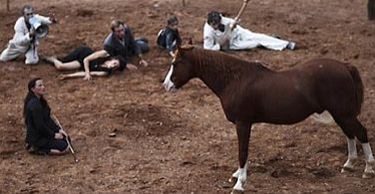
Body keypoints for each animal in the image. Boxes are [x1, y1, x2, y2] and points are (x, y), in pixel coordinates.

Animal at [162, 46, 375, 192]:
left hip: (343, 113)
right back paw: (348, 165)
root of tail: (345, 66)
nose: (166, 85)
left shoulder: (243, 123)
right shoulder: (245, 124)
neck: (235, 80)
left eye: (175, 64)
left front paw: (239, 184)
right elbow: (245, 150)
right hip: (341, 114)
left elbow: (242, 151)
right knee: (350, 134)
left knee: (361, 132)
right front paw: (238, 176)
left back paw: (368, 169)